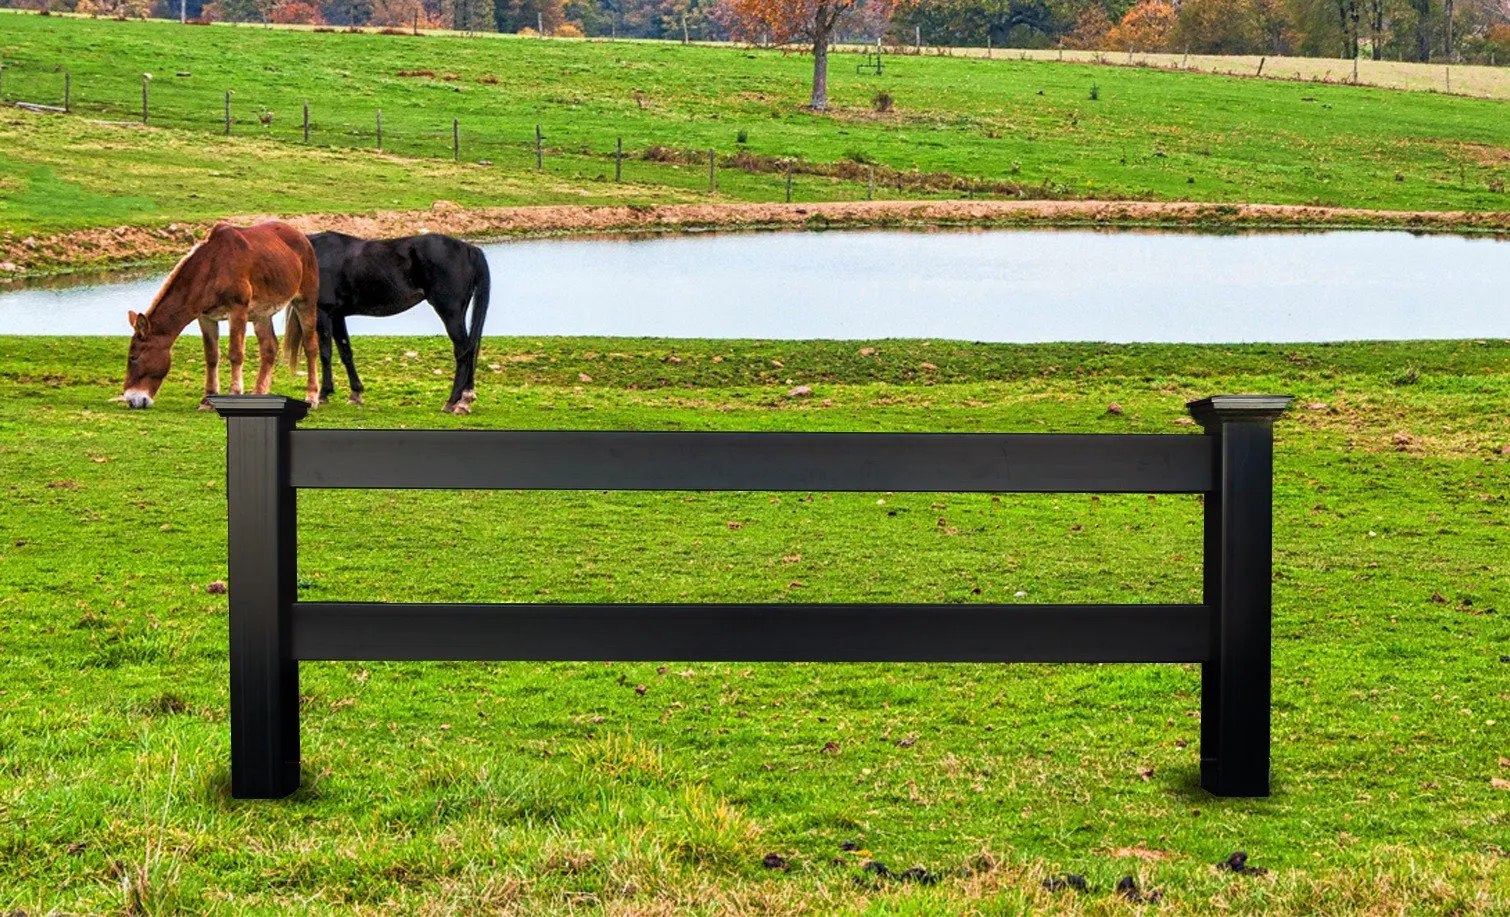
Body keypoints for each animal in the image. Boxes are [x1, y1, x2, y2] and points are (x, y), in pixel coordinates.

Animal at [118, 221, 320, 410]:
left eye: (133, 357)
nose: (132, 400)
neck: (212, 267)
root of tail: (302, 237)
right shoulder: (205, 317)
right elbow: (211, 355)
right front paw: (208, 399)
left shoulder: (237, 310)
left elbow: (235, 353)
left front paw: (234, 393)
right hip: (262, 314)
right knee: (269, 348)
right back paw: (259, 393)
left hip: (305, 301)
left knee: (310, 346)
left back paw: (312, 397)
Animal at [308, 231, 491, 414]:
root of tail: (469, 249)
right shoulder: (337, 316)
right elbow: (346, 352)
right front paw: (355, 393)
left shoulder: (323, 312)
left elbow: (325, 353)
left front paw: (323, 394)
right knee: (470, 348)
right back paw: (466, 399)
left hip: (450, 312)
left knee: (463, 351)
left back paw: (453, 401)